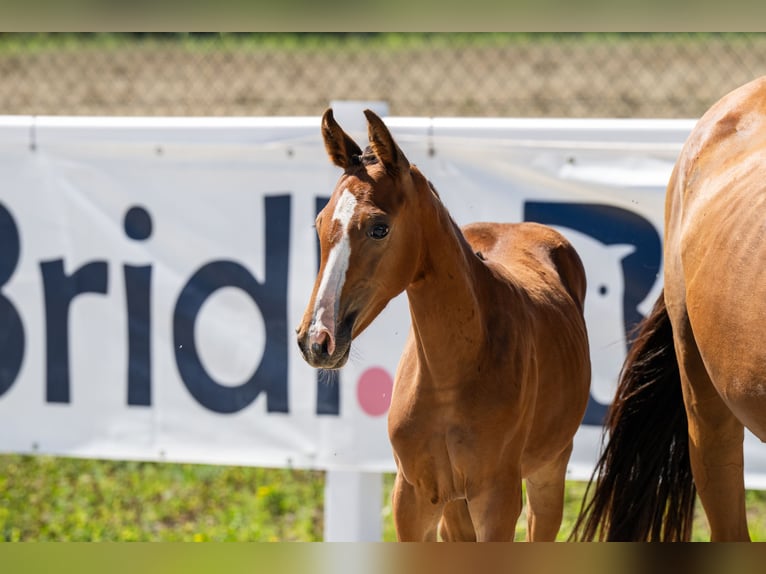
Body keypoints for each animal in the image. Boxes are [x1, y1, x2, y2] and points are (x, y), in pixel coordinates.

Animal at [295, 109, 591, 541]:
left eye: (379, 227)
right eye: (319, 223)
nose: (317, 340)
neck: (451, 375)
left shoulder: (498, 501)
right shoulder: (412, 496)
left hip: (548, 472)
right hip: (455, 507)